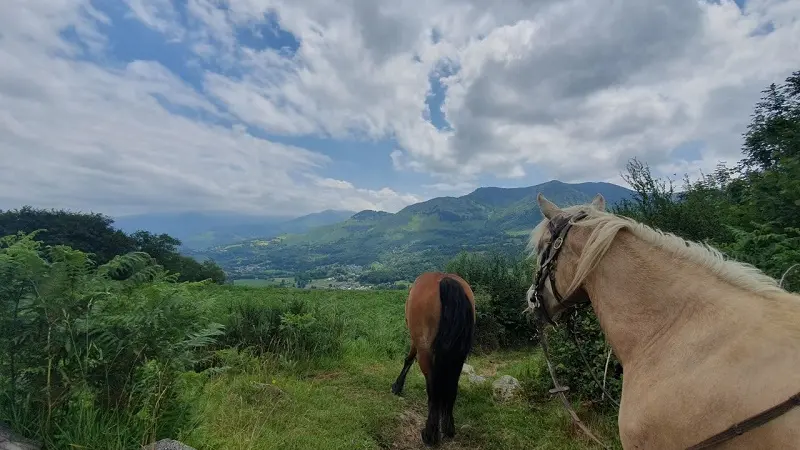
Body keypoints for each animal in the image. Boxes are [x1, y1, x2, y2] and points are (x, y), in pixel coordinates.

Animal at [392, 270, 476, 446]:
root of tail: (446, 280)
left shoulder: (416, 341)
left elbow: (409, 359)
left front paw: (397, 386)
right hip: (458, 355)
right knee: (451, 386)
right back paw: (448, 428)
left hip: (426, 352)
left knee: (433, 391)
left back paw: (430, 434)